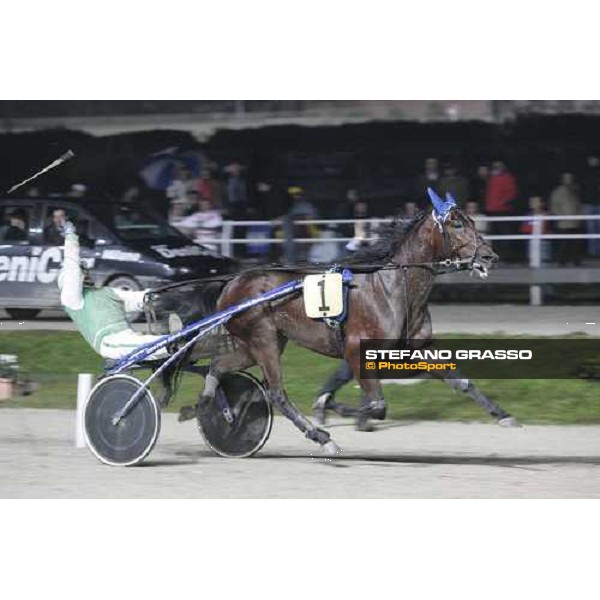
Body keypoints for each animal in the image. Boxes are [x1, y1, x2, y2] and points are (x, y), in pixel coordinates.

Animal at [177, 191, 516, 454]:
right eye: (457, 223)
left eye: (473, 221)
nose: (490, 257)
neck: (394, 288)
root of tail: (232, 281)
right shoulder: (356, 350)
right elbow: (378, 405)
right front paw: (332, 408)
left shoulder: (414, 350)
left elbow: (462, 381)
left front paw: (503, 415)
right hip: (263, 341)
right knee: (277, 393)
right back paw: (320, 437)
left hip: (257, 344)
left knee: (218, 366)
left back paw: (208, 408)